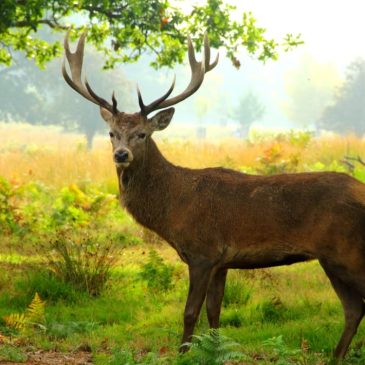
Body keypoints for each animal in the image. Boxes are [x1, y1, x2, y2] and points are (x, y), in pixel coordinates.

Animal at [62, 31, 365, 362]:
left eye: (142, 134)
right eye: (112, 134)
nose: (121, 154)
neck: (174, 207)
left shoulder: (202, 252)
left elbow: (190, 312)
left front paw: (182, 353)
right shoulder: (222, 262)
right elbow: (214, 312)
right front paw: (216, 350)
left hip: (346, 251)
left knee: (356, 305)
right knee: (353, 309)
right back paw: (336, 356)